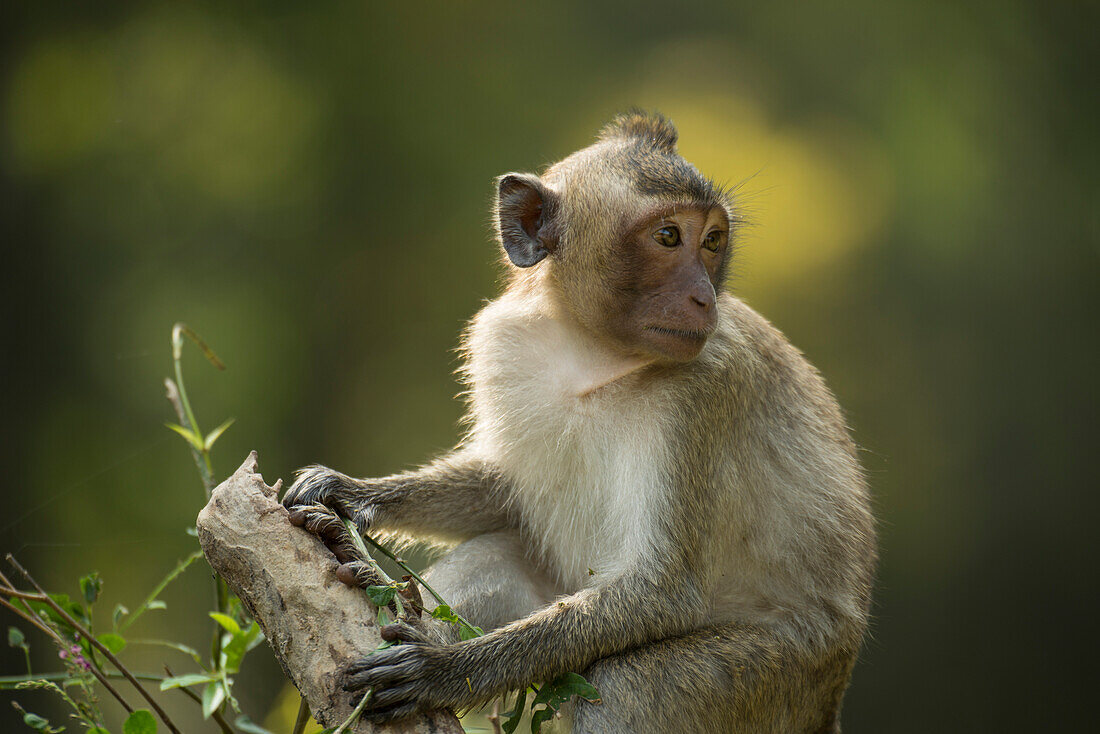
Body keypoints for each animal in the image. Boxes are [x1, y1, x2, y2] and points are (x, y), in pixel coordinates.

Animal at [281, 110, 875, 734]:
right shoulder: (503, 346)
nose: (703, 298)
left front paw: (441, 669)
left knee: (624, 686)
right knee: (498, 553)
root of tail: (828, 702)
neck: (593, 353)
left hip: (773, 683)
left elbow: (662, 592)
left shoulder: (708, 390)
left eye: (713, 241)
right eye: (669, 236)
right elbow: (504, 491)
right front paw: (348, 496)